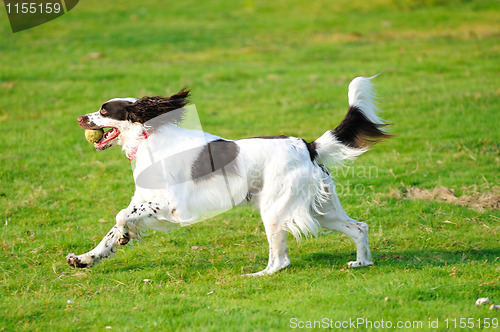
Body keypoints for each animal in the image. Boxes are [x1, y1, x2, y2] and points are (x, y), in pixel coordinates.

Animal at [66, 76, 390, 276]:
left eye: (104, 110)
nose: (79, 119)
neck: (149, 138)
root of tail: (307, 145)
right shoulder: (145, 200)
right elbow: (112, 229)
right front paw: (85, 258)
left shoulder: (174, 206)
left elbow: (121, 216)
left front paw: (122, 236)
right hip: (320, 209)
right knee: (359, 227)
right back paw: (362, 262)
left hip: (275, 210)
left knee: (281, 260)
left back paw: (258, 274)